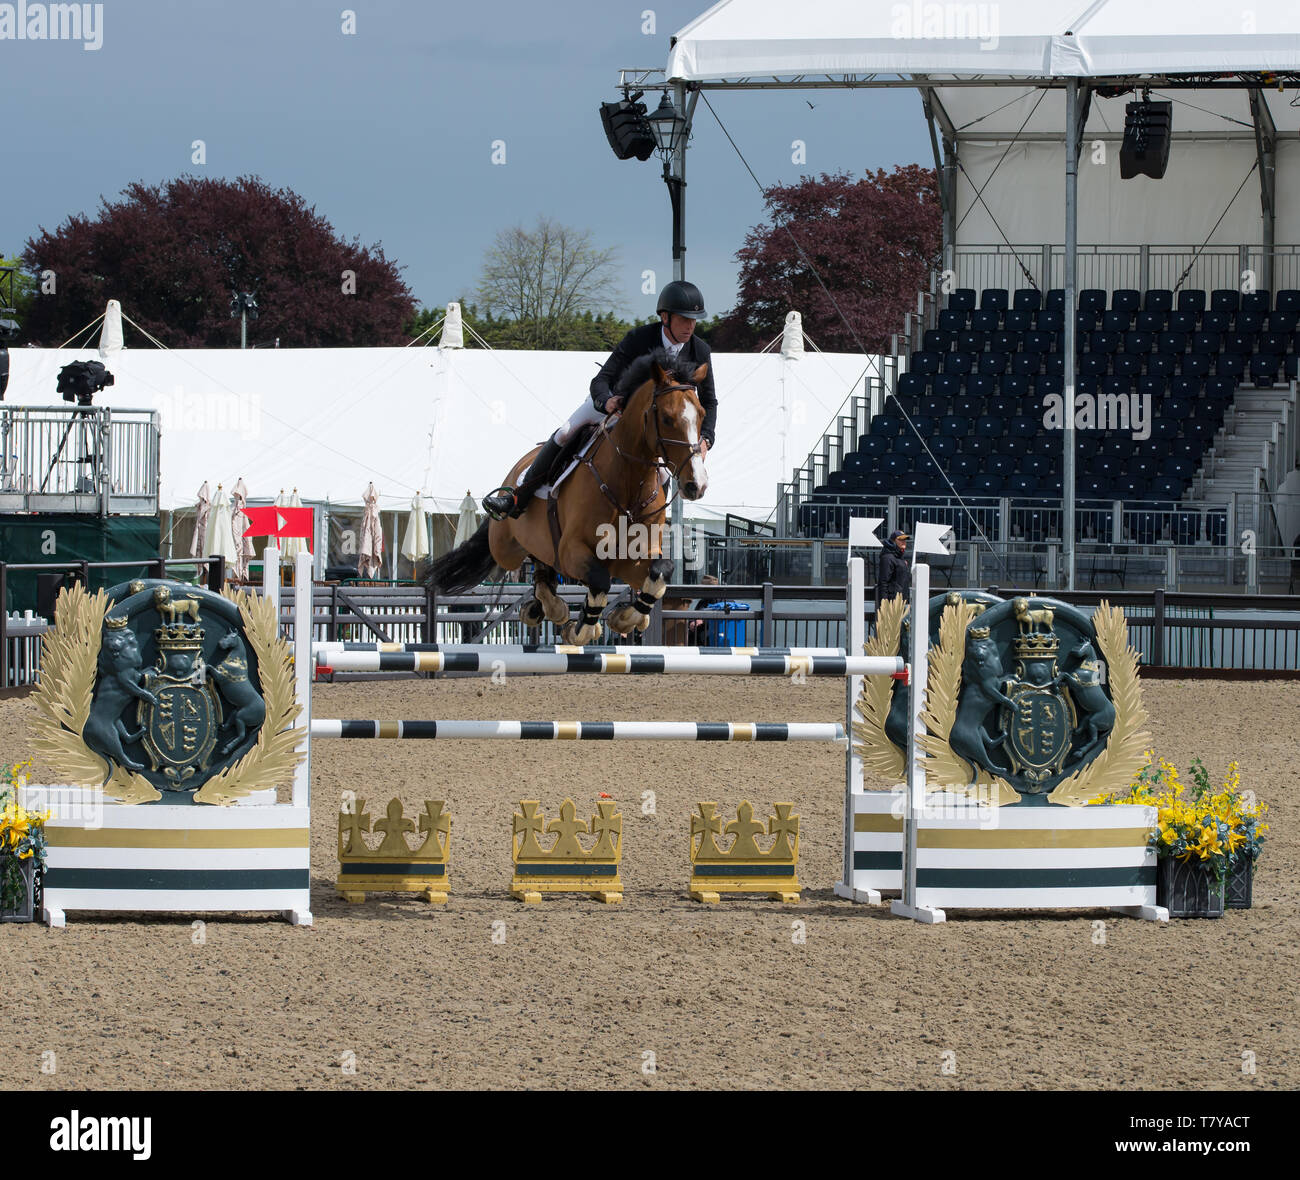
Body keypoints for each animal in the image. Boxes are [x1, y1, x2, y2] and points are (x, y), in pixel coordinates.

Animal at [431, 350, 707, 644]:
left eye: (702, 415)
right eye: (666, 418)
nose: (696, 484)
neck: (628, 484)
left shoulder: (631, 560)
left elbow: (660, 573)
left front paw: (625, 618)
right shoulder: (572, 551)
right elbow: (599, 581)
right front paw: (583, 628)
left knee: (542, 571)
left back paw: (542, 607)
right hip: (505, 549)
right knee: (533, 566)